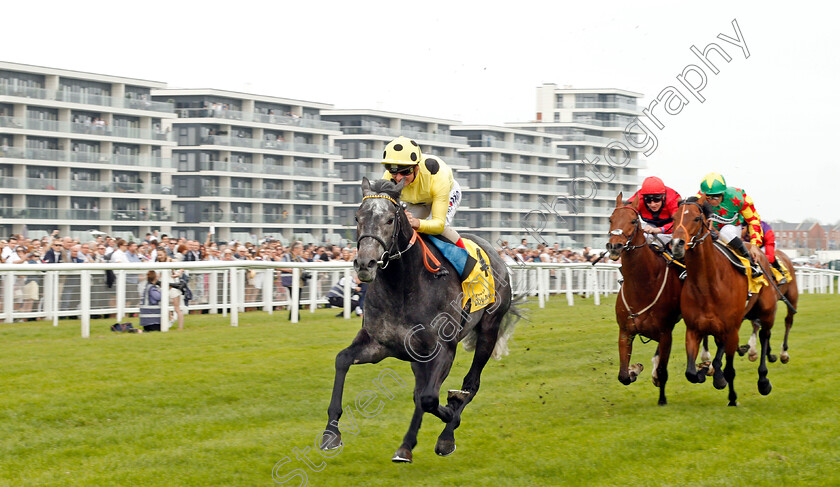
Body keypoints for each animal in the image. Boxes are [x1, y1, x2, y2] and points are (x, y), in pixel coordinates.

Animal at [320, 180, 520, 466]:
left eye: (390, 219)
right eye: (358, 218)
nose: (365, 264)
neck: (403, 285)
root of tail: (497, 254)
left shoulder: (443, 349)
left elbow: (429, 398)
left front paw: (450, 413)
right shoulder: (379, 343)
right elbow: (342, 360)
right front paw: (331, 433)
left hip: (489, 329)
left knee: (470, 384)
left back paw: (444, 435)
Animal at [608, 193, 684, 406]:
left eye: (634, 221)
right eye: (610, 219)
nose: (614, 246)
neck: (642, 285)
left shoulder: (666, 333)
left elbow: (663, 371)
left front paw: (662, 398)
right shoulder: (625, 331)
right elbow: (623, 375)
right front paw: (634, 369)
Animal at [668, 196, 780, 406]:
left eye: (696, 218)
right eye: (673, 218)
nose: (677, 244)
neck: (708, 285)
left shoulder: (732, 329)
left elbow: (730, 369)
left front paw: (732, 398)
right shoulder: (693, 329)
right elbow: (691, 372)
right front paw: (706, 372)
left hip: (766, 313)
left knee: (764, 336)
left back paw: (763, 381)